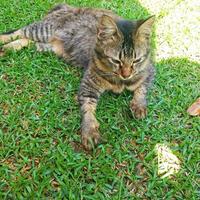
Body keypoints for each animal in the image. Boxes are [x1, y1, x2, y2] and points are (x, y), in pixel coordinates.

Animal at [0, 3, 155, 150]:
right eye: (116, 61)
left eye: (136, 60)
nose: (126, 75)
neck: (120, 81)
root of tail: (69, 6)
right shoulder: (89, 85)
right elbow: (88, 109)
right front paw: (90, 130)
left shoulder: (150, 71)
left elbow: (142, 89)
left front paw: (139, 105)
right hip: (43, 30)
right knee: (19, 31)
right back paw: (4, 41)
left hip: (48, 46)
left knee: (27, 40)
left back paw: (8, 48)